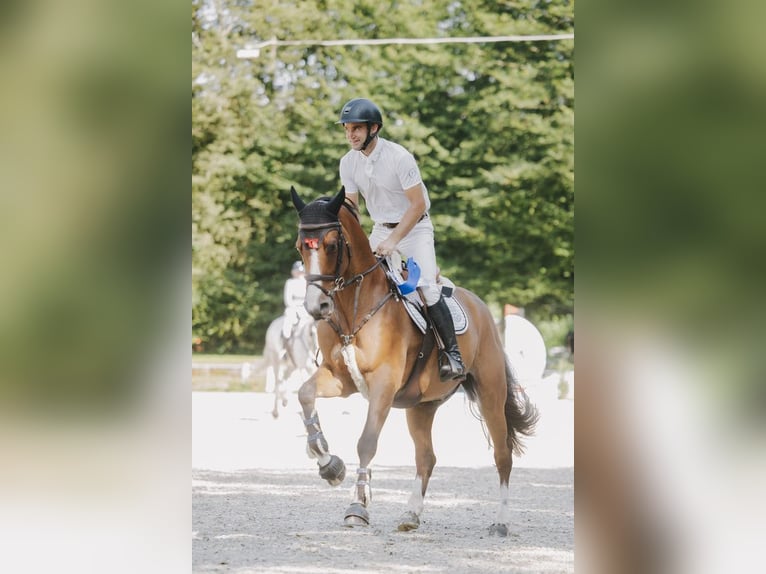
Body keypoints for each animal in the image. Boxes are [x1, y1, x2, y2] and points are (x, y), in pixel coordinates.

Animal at [290, 187, 540, 536]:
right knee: (426, 457)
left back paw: (501, 522)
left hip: (490, 392)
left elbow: (367, 443)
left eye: (331, 245)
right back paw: (411, 514)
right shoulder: (339, 378)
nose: (317, 306)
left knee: (503, 454)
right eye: (300, 246)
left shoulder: (383, 384)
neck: (354, 306)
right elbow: (305, 395)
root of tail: (482, 308)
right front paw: (329, 464)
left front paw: (357, 507)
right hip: (421, 406)